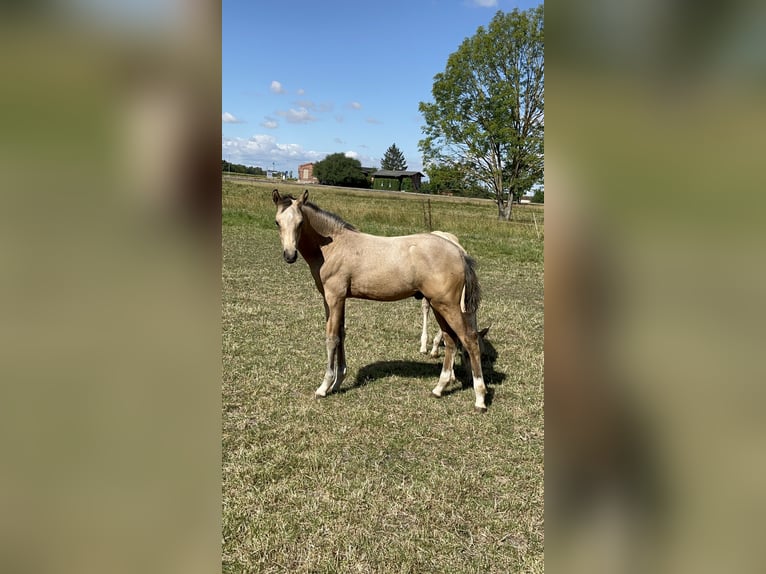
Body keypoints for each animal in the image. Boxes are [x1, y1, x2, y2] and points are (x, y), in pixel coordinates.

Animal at [272, 189, 488, 412]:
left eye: (300, 223)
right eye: (277, 222)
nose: (289, 255)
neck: (333, 246)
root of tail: (459, 253)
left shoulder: (334, 297)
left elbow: (332, 338)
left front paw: (324, 386)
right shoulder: (335, 300)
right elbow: (341, 334)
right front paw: (338, 381)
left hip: (448, 306)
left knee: (469, 340)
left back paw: (480, 398)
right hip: (438, 305)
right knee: (451, 340)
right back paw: (439, 388)